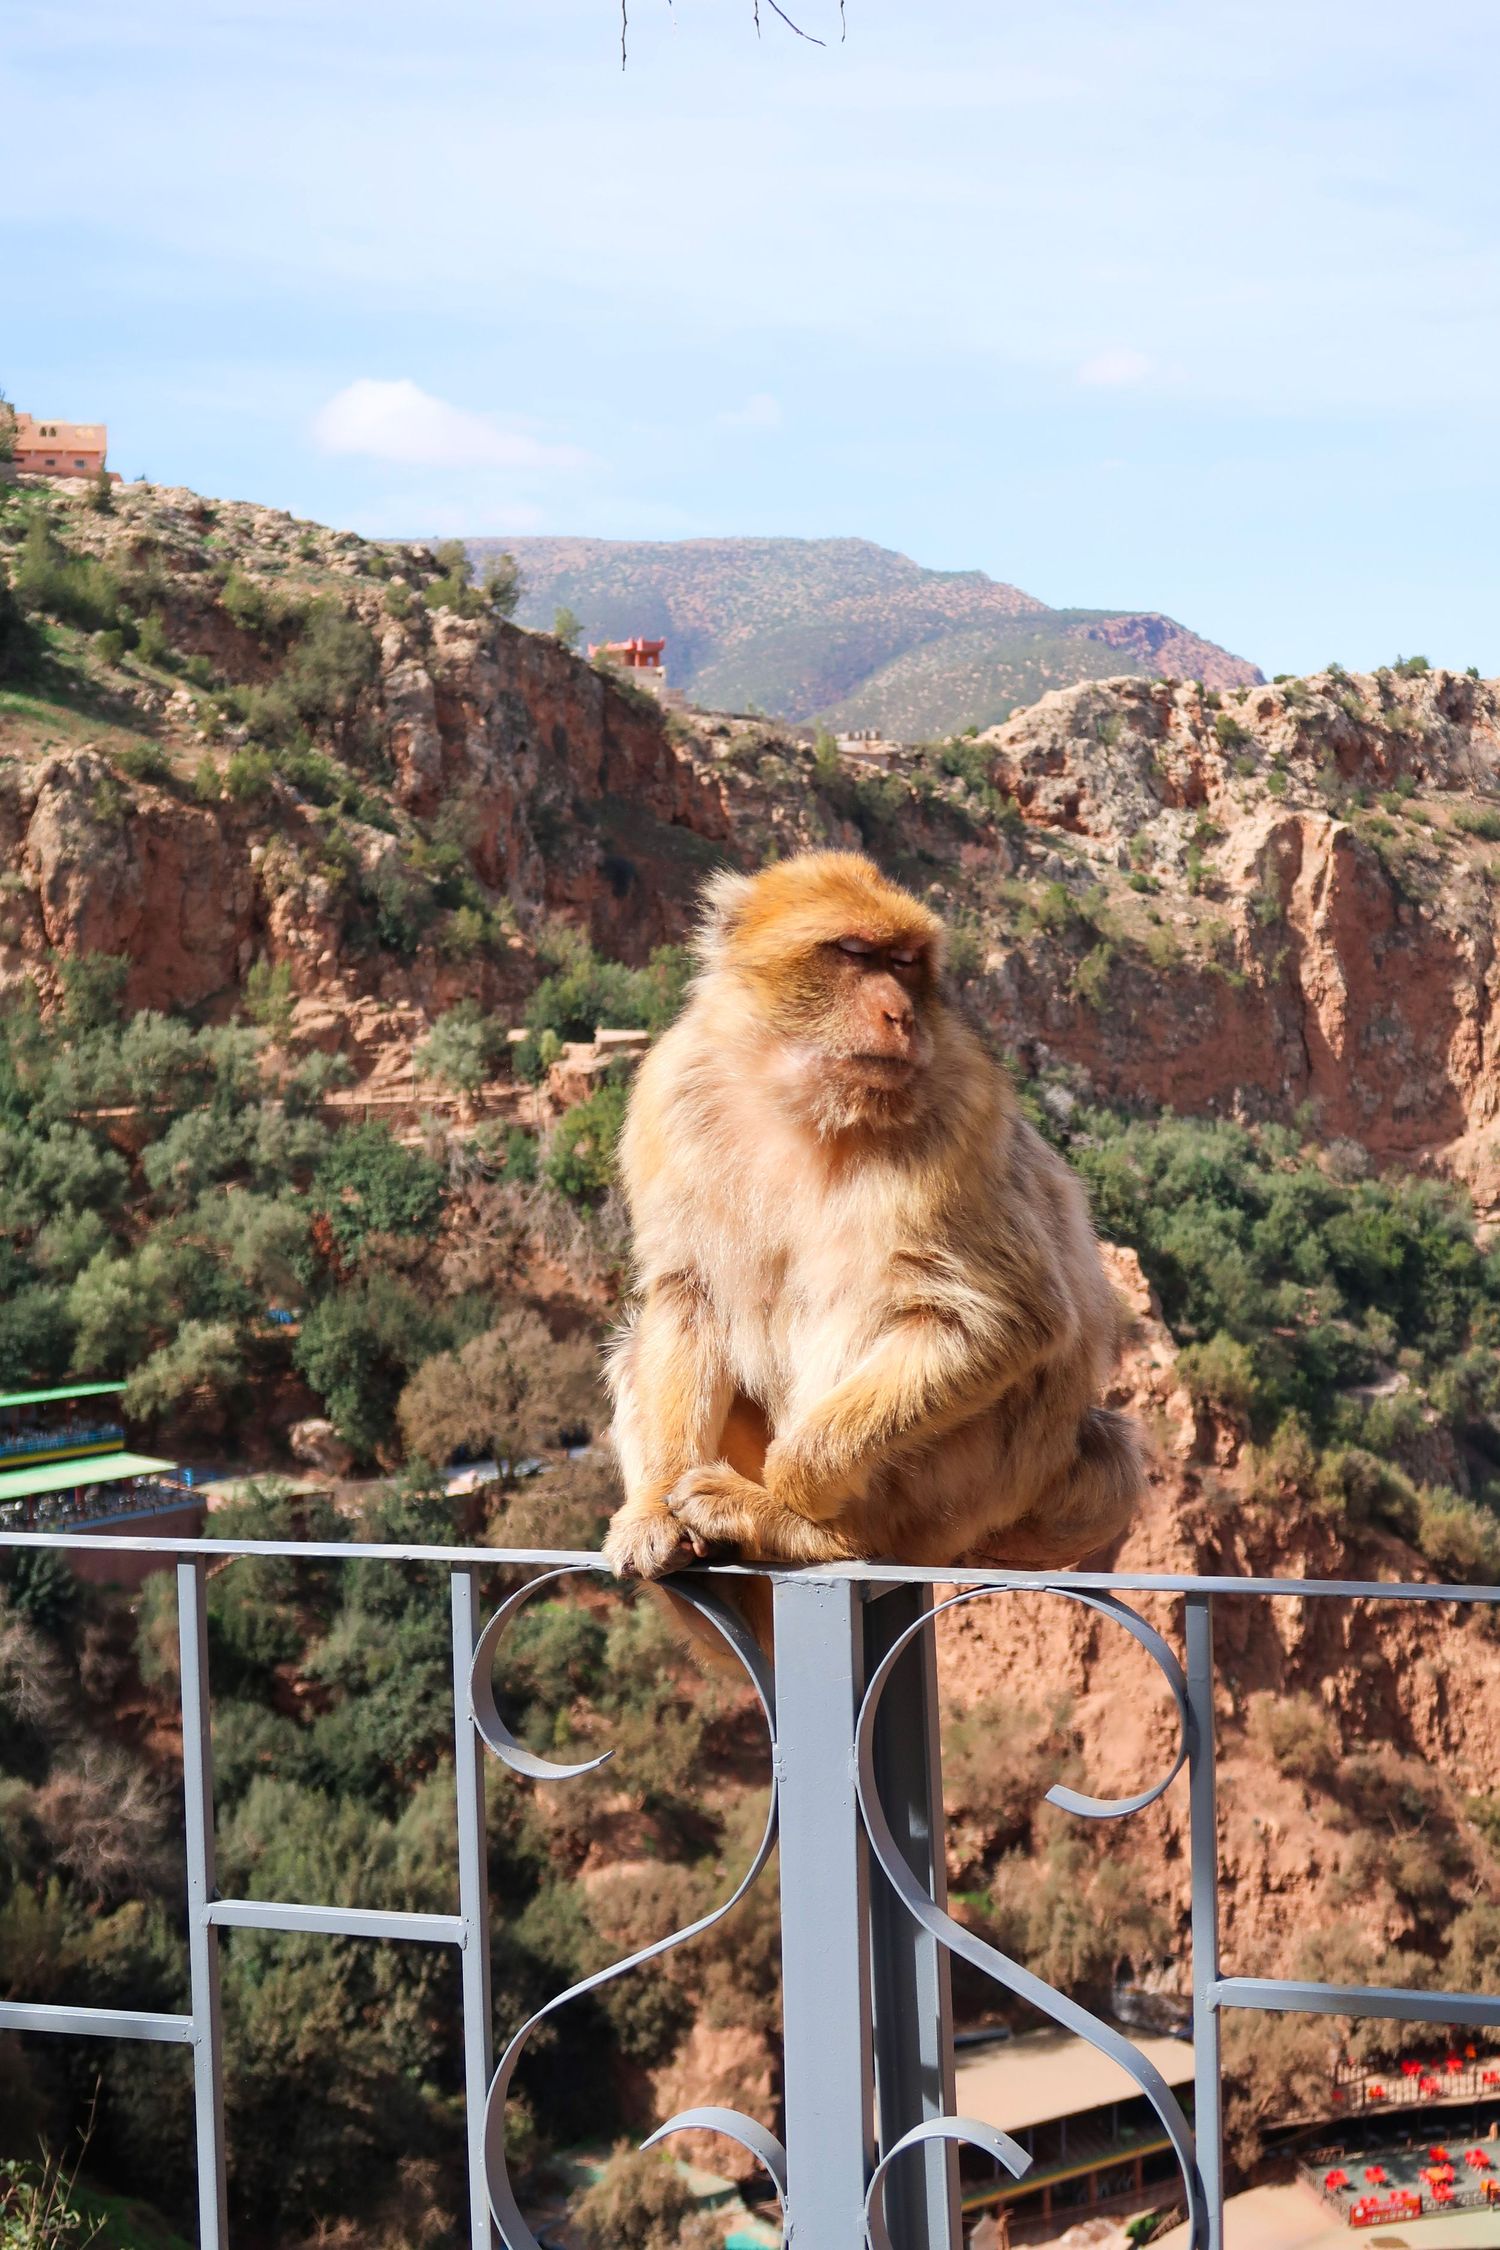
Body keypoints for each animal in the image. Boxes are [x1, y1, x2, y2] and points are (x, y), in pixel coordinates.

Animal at [601, 850, 1141, 1640]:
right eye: (855, 953)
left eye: (907, 961)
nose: (902, 1015)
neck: (802, 1102)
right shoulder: (671, 1094)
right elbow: (686, 1293)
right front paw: (653, 1510)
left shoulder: (959, 1111)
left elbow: (1004, 1320)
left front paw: (792, 1490)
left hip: (960, 1486)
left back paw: (804, 1527)